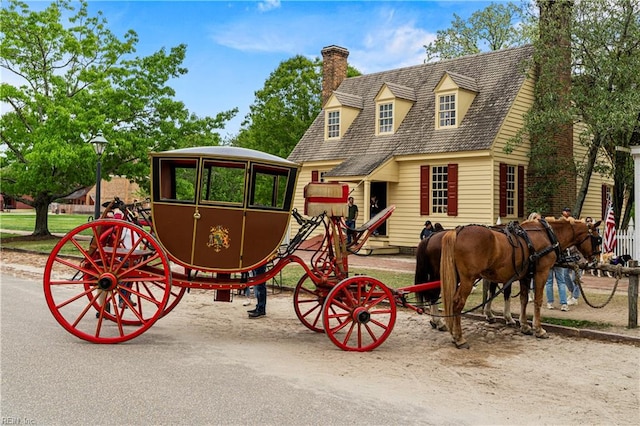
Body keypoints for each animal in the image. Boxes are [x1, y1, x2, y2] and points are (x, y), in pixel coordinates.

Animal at [440, 218, 600, 348]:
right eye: (597, 239)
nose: (595, 261)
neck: (547, 235)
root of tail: (457, 231)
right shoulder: (541, 273)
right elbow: (538, 300)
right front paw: (538, 329)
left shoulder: (525, 276)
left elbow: (524, 299)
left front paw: (524, 326)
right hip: (468, 279)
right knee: (458, 303)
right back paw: (459, 338)